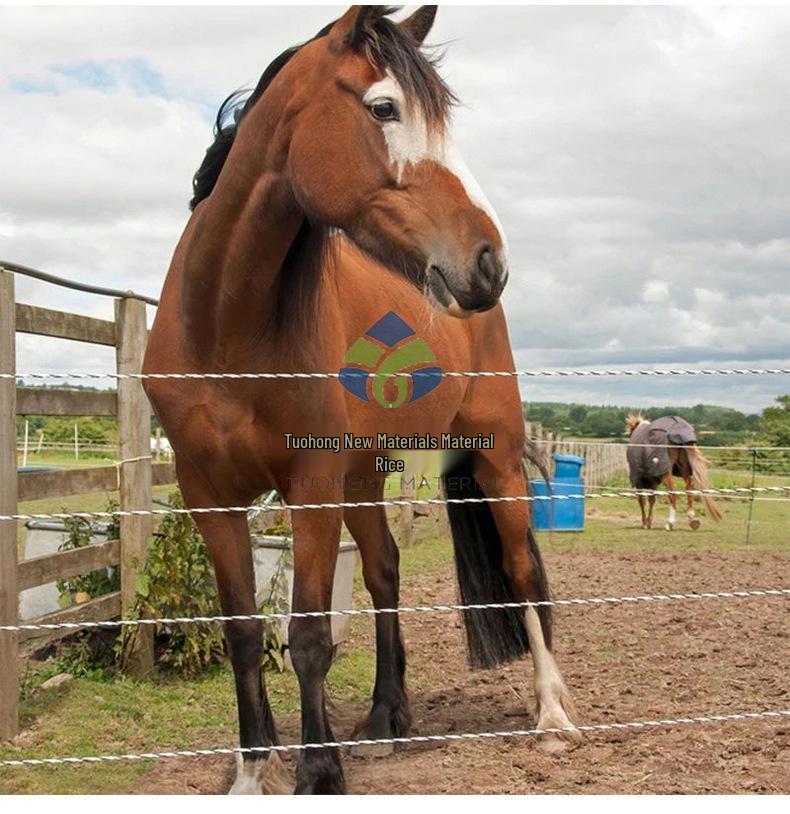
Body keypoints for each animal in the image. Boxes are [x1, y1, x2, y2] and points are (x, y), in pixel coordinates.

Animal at [144, 6, 579, 794]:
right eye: (384, 109)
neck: (224, 325)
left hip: (493, 458)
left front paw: (318, 773)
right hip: (364, 478)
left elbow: (310, 636)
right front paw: (252, 771)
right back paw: (386, 716)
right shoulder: (208, 496)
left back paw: (551, 710)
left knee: (522, 571)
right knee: (385, 572)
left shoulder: (310, 485)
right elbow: (244, 633)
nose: (489, 262)